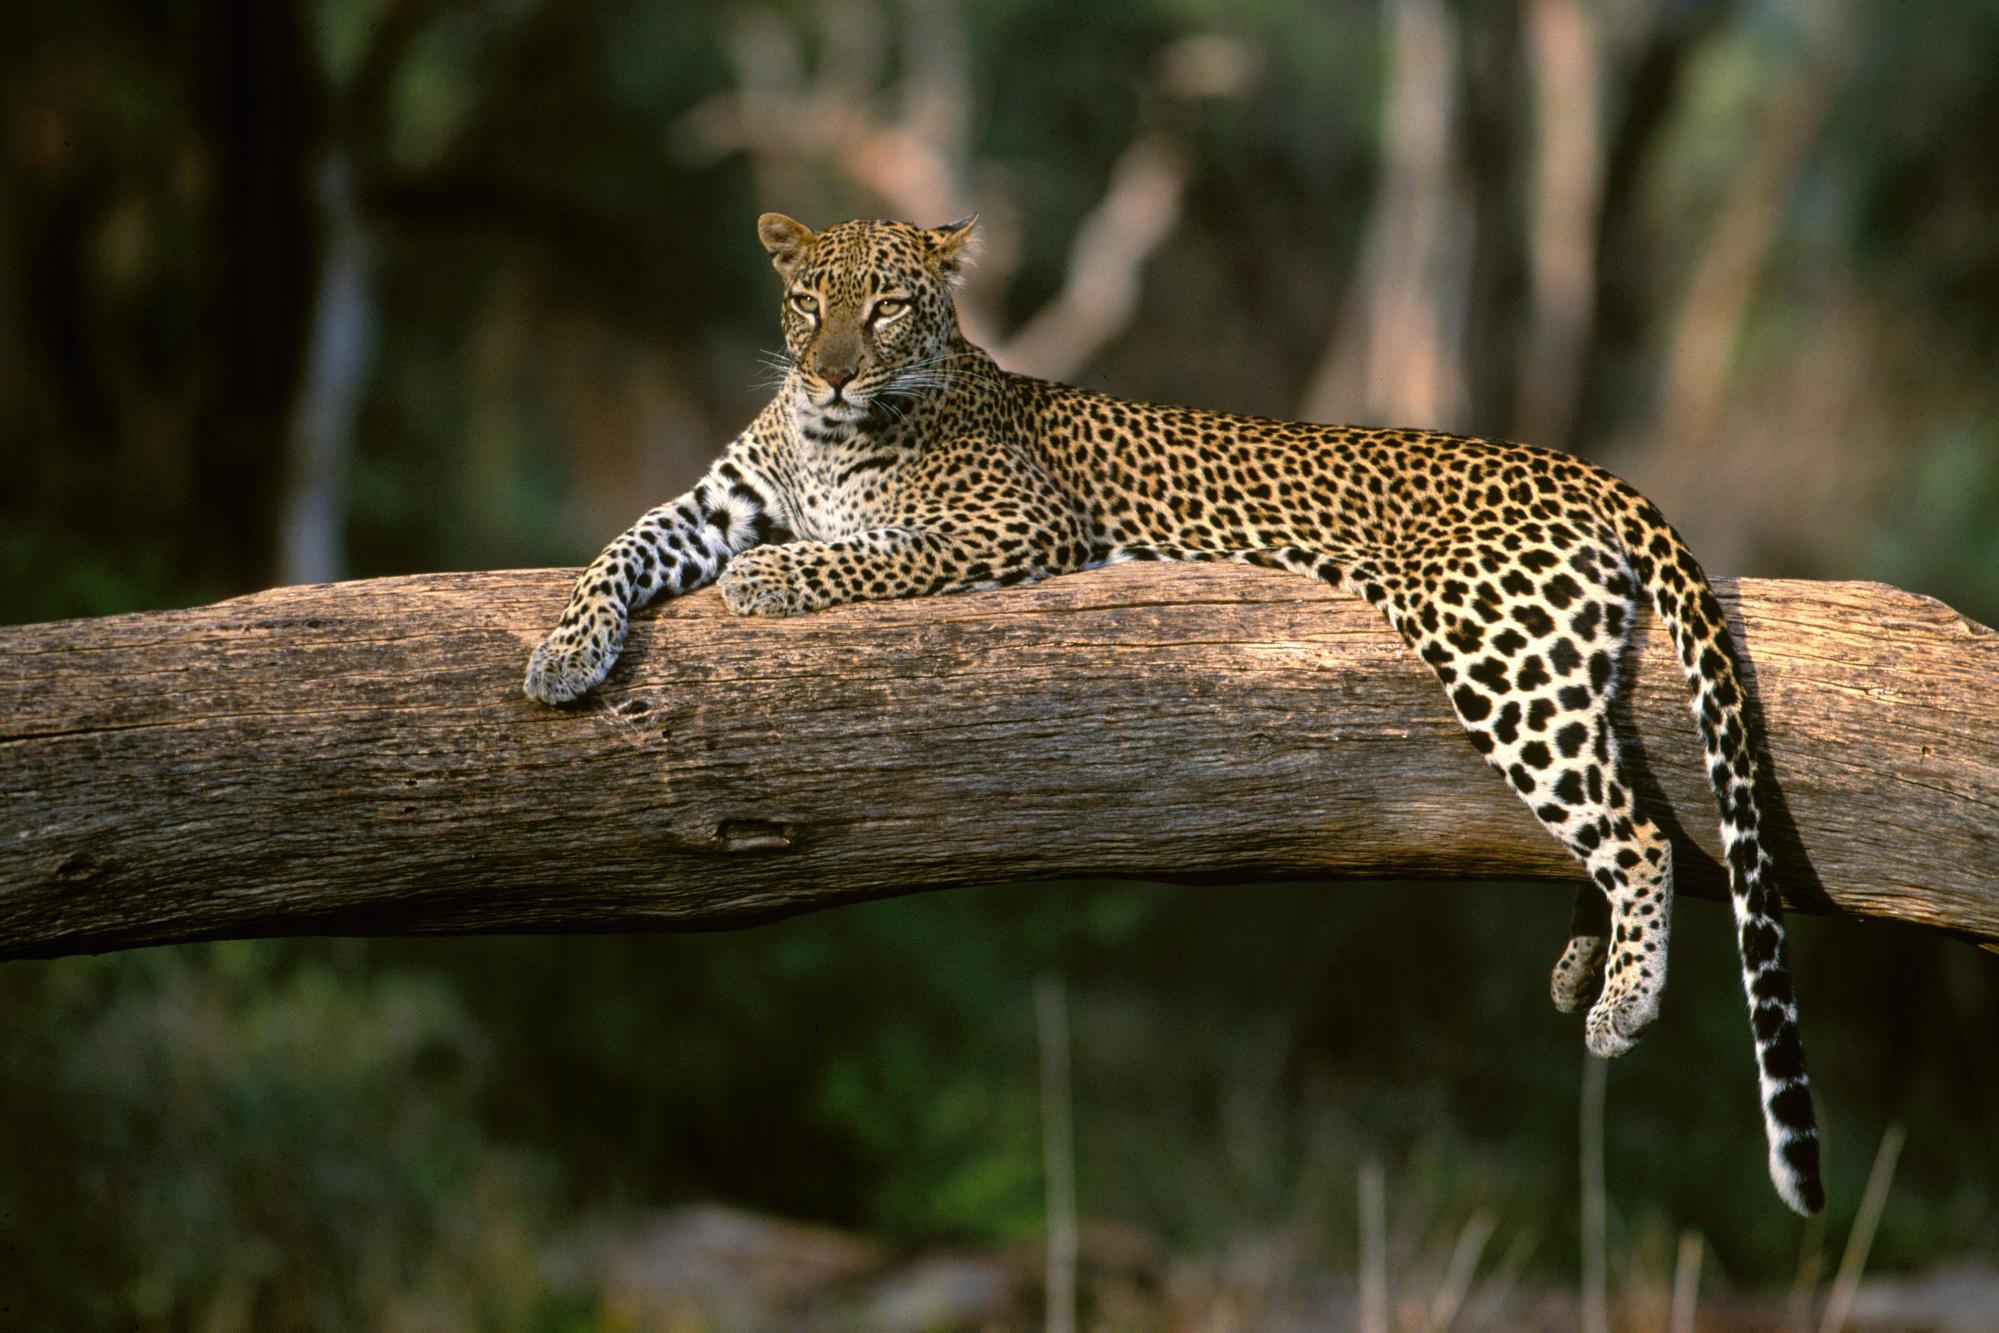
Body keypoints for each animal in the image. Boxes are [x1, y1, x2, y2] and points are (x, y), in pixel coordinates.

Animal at [519, 210, 1831, 1223]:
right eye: (808, 302)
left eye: (887, 309)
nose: (834, 369)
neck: (828, 430)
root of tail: (1575, 464)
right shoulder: (712, 503)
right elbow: (621, 545)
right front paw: (561, 655)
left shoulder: (1011, 528)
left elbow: (859, 554)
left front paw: (770, 580)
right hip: (1555, 661)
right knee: (1620, 804)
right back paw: (1576, 964)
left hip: (1494, 649)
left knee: (1640, 832)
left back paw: (1622, 1001)